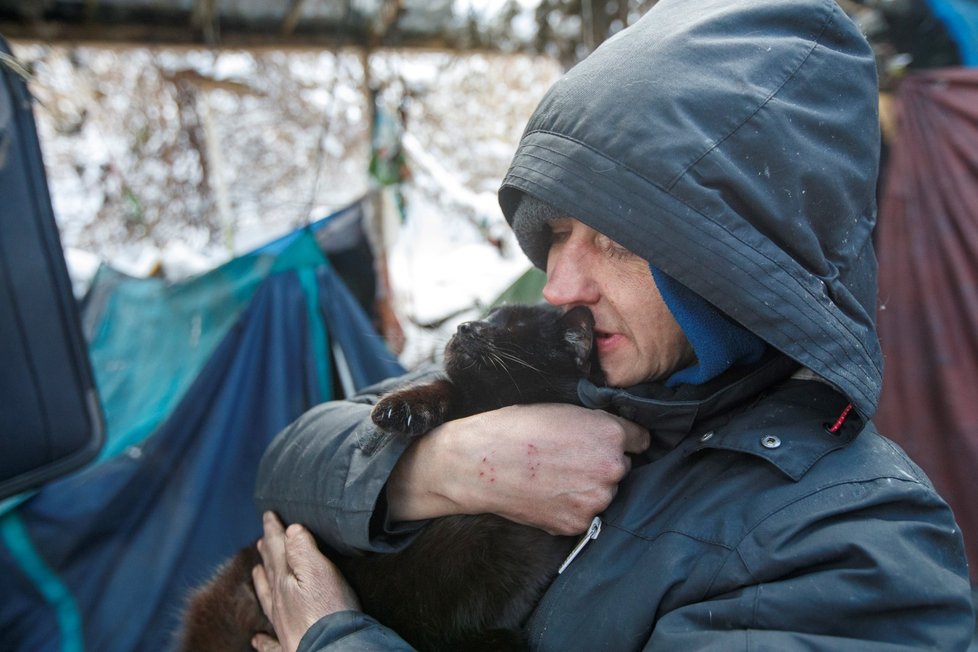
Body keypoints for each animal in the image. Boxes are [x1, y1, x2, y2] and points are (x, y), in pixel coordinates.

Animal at [176, 306, 604, 652]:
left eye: (513, 326)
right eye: (489, 315)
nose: (465, 325)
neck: (492, 405)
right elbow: (445, 384)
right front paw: (400, 408)